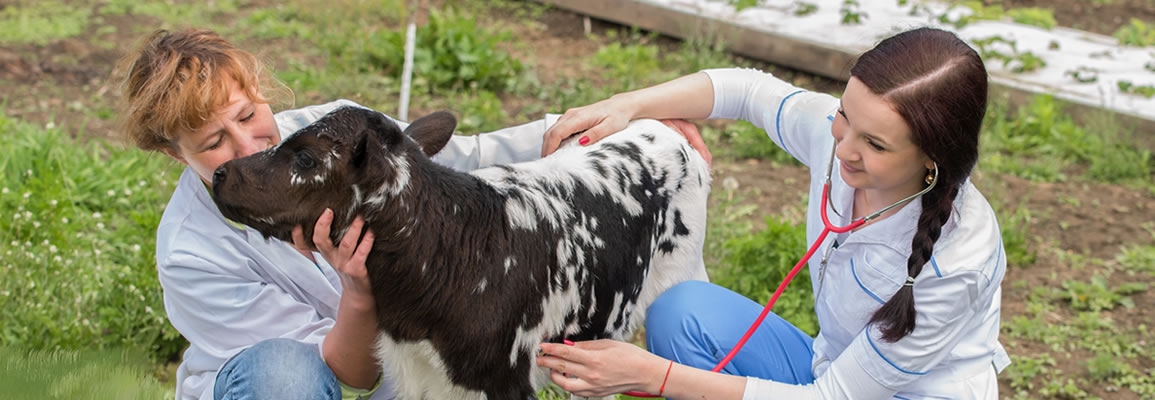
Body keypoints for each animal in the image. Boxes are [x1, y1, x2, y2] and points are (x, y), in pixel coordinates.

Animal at [211, 106, 706, 400]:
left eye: (307, 158)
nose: (220, 173)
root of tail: (659, 126)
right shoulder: (415, 373)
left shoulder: (507, 379)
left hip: (682, 275)